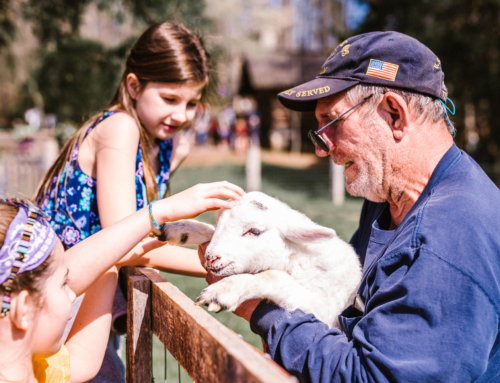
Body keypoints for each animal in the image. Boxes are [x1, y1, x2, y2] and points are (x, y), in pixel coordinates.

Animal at [162, 192, 362, 330]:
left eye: (255, 231)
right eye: (219, 223)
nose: (211, 258)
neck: (298, 258)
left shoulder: (323, 309)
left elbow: (275, 277)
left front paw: (222, 291)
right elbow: (209, 230)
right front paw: (178, 229)